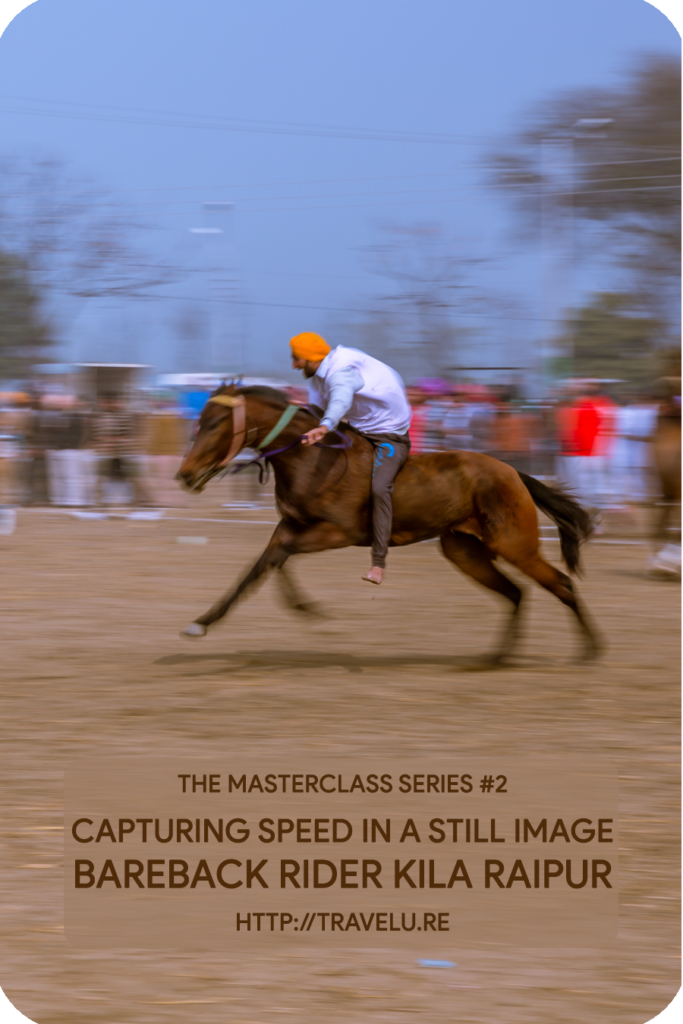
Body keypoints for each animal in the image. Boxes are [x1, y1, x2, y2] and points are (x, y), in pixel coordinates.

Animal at [178, 385, 602, 663]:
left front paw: (309, 609)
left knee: (560, 583)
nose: (185, 474)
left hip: (514, 544)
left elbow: (277, 557)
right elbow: (258, 568)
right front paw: (201, 623)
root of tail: (512, 472)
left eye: (215, 424)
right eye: (199, 422)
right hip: (464, 550)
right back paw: (498, 656)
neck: (311, 459)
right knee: (515, 593)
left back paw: (590, 649)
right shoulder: (291, 526)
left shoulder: (337, 532)